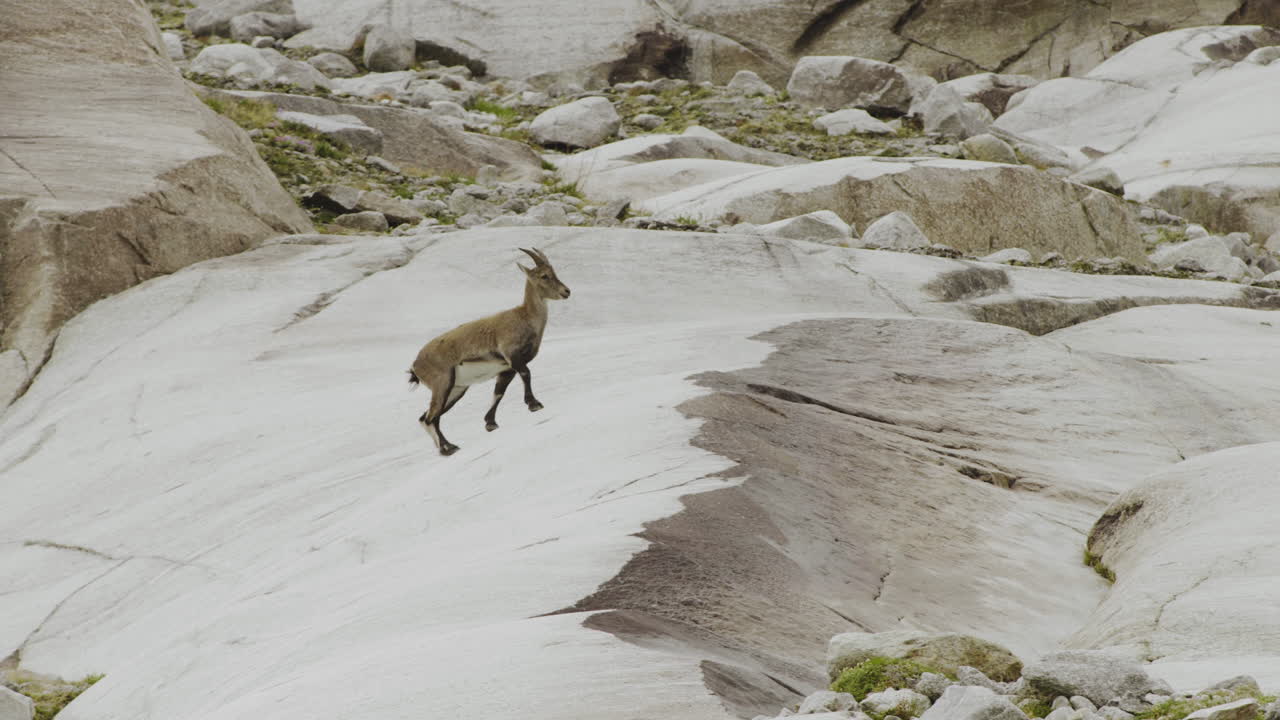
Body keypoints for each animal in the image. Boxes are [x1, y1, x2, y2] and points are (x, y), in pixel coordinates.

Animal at [407, 247, 571, 456]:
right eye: (544, 276)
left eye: (554, 272)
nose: (566, 291)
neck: (525, 317)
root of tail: (415, 366)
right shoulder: (512, 355)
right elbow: (526, 373)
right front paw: (534, 404)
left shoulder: (506, 368)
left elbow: (499, 393)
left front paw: (490, 423)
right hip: (442, 383)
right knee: (430, 418)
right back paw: (447, 449)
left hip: (456, 389)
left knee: (427, 417)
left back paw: (448, 446)